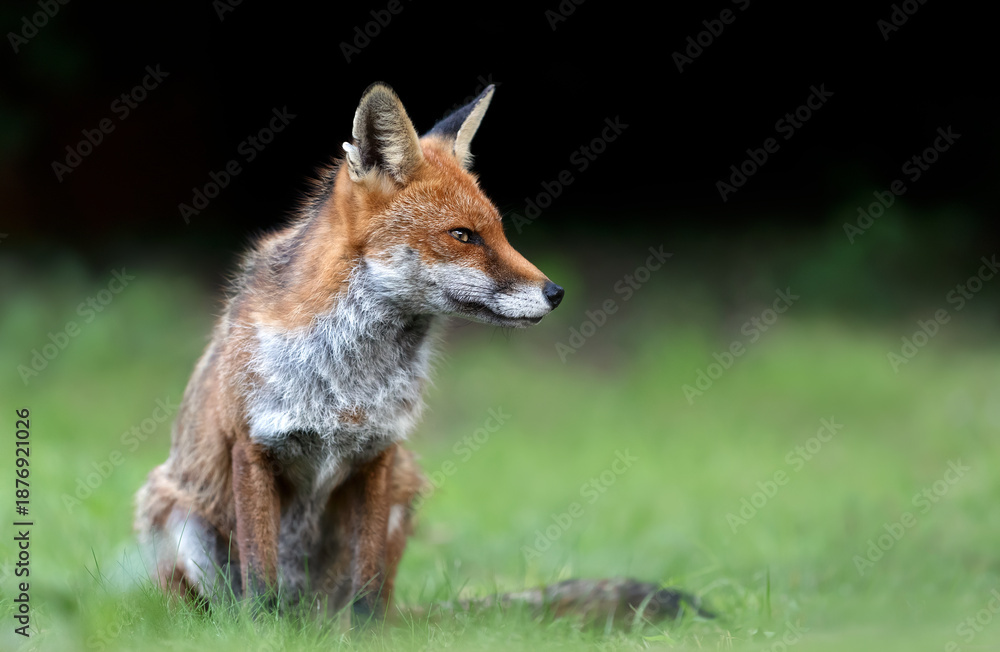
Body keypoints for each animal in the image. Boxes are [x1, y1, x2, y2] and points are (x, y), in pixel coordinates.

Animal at [135, 82, 707, 626]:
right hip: (172, 512)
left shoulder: (378, 455)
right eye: (463, 235)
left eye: (499, 232)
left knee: (366, 605)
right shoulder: (253, 447)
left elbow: (366, 590)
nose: (557, 293)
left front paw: (364, 640)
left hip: (403, 493)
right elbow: (260, 579)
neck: (349, 378)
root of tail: (309, 616)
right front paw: (262, 633)